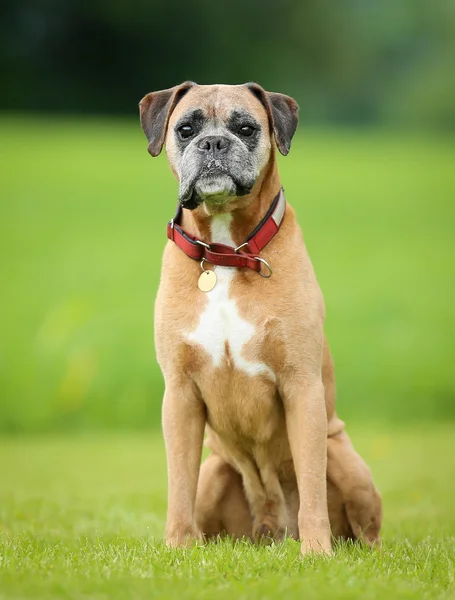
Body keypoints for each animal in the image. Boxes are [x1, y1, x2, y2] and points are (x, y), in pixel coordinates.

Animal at [139, 82, 382, 556]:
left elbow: (311, 485)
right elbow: (178, 485)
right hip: (215, 470)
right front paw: (177, 548)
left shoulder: (301, 387)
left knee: (363, 528)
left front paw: (318, 553)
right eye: (186, 129)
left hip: (349, 465)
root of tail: (274, 531)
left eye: (246, 128)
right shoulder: (179, 397)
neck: (227, 254)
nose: (213, 143)